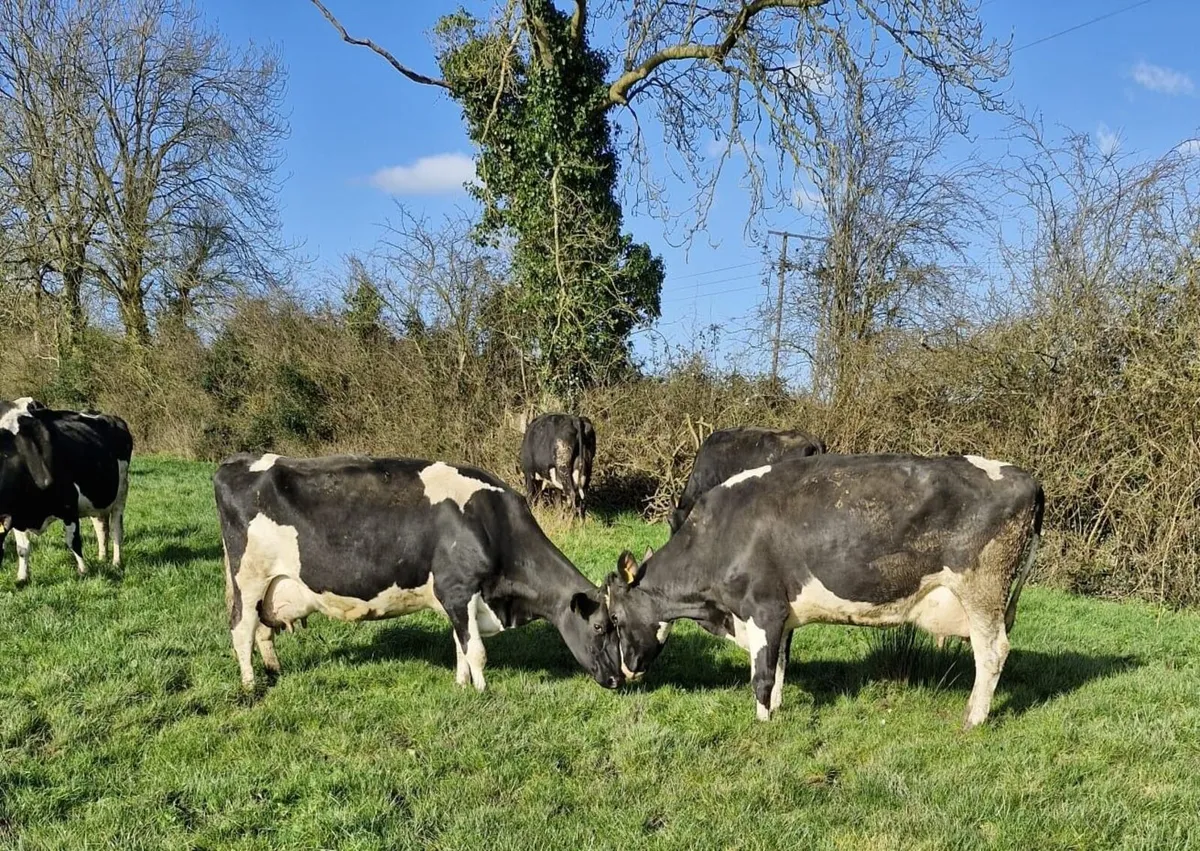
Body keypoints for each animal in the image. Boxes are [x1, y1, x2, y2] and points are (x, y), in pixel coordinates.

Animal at [0, 398, 133, 584]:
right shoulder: (17, 514)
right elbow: (22, 548)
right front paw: (22, 577)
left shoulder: (69, 505)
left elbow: (73, 541)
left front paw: (83, 571)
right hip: (97, 498)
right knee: (101, 527)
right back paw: (102, 558)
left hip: (121, 492)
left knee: (116, 529)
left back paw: (116, 562)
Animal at [213, 452, 624, 692]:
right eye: (600, 626)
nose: (620, 678)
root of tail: (235, 462)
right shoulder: (459, 588)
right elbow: (476, 650)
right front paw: (481, 691)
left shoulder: (455, 598)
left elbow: (460, 645)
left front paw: (461, 685)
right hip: (249, 578)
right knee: (241, 629)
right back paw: (250, 686)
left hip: (267, 585)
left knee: (262, 630)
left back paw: (274, 670)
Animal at [604, 453, 1044, 730]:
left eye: (614, 618)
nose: (624, 672)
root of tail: (1028, 478)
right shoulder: (782, 615)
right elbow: (781, 664)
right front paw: (777, 708)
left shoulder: (763, 608)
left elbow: (762, 675)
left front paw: (763, 723)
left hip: (982, 589)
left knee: (992, 652)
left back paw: (973, 718)